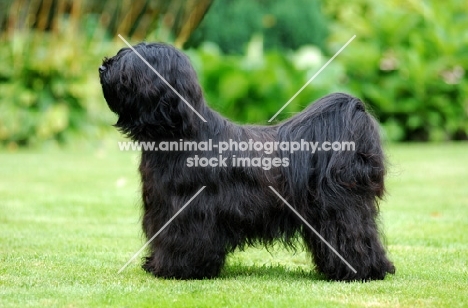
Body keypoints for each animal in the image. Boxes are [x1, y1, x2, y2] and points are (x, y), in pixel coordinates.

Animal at [99, 41, 394, 282]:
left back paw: (363, 271)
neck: (181, 134)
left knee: (354, 236)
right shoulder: (161, 208)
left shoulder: (189, 209)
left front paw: (176, 270)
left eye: (128, 65)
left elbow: (184, 239)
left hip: (339, 209)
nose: (103, 66)